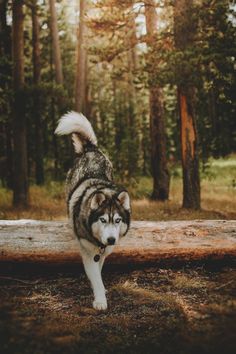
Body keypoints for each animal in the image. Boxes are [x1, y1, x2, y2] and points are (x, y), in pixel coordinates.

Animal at [54, 112, 131, 312]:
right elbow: (96, 276)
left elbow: (99, 272)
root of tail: (90, 149)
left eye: (118, 220)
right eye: (103, 220)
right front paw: (100, 300)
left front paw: (100, 291)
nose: (111, 239)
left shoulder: (102, 253)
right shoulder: (88, 253)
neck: (99, 243)